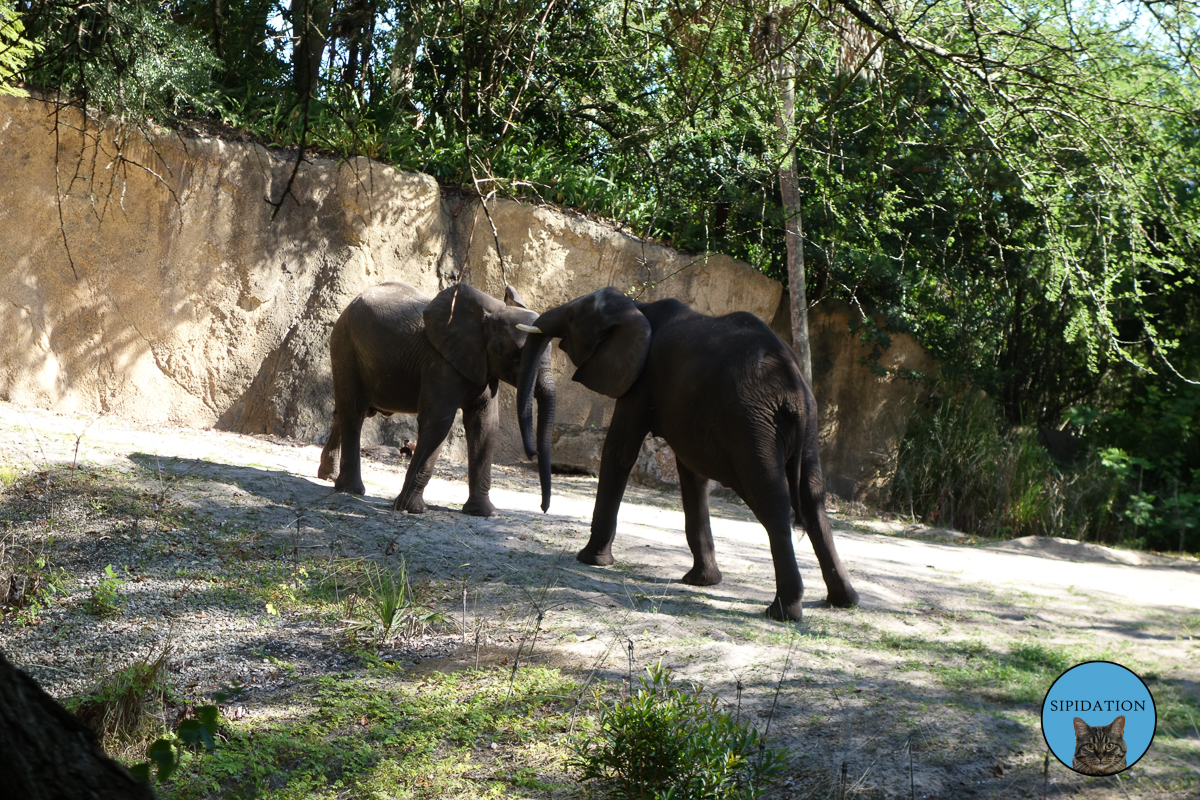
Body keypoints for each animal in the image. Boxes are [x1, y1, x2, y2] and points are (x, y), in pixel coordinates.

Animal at [316, 281, 554, 520]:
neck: (491, 313)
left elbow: (485, 426)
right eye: (517, 356)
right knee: (354, 411)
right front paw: (411, 509)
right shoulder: (440, 363)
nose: (533, 454)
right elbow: (438, 422)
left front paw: (483, 513)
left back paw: (328, 476)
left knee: (352, 410)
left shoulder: (484, 366)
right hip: (345, 346)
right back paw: (350, 489)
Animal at [513, 287, 854, 618]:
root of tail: (792, 382)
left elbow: (619, 452)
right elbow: (692, 475)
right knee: (812, 497)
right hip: (806, 423)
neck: (636, 307)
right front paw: (702, 581)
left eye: (572, 316)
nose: (544, 508)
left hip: (751, 421)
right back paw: (844, 600)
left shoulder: (642, 381)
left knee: (772, 499)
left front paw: (589, 560)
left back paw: (784, 612)